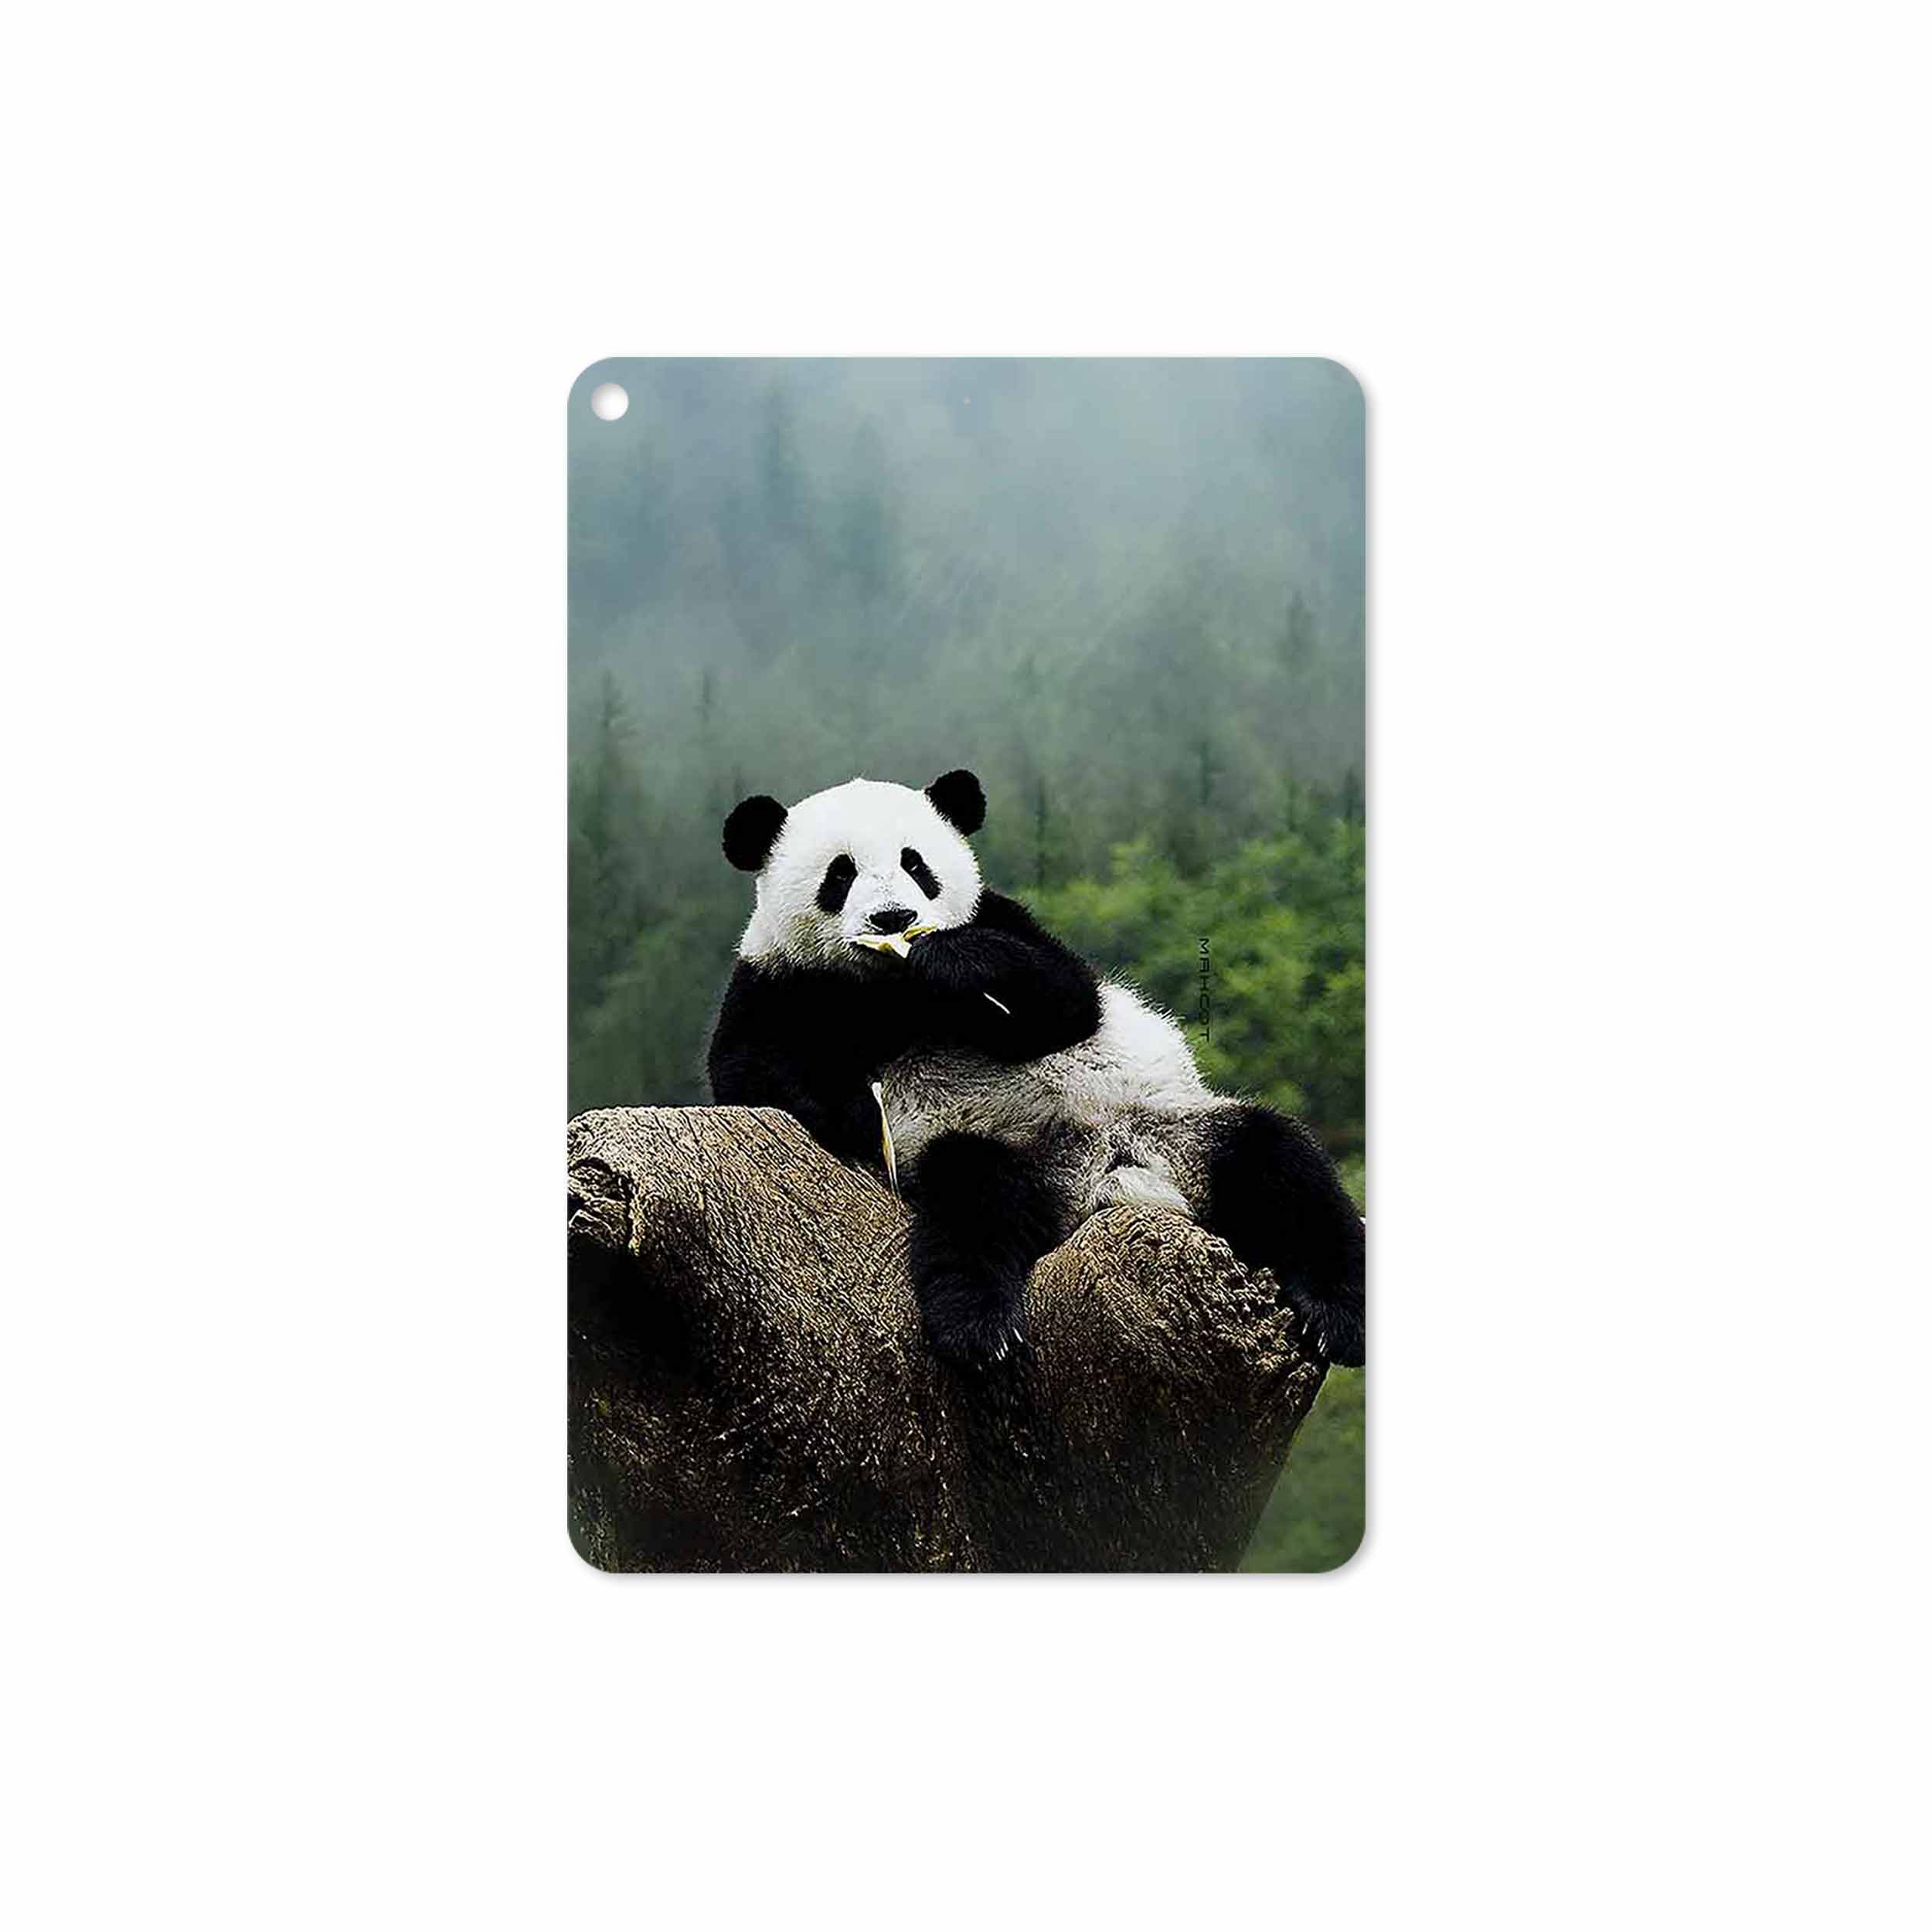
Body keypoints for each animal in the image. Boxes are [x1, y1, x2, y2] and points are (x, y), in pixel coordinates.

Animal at [707, 768, 1365, 1370]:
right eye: (840, 874)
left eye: (916, 864)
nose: (894, 919)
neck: (892, 990)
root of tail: (1109, 1179)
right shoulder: (777, 981)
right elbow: (749, 1071)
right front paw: (856, 1115)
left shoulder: (1001, 920)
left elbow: (1067, 999)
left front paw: (951, 960)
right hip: (1005, 1151)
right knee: (972, 1202)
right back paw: (981, 1328)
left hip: (1181, 1129)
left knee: (1282, 1166)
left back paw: (1340, 1317)